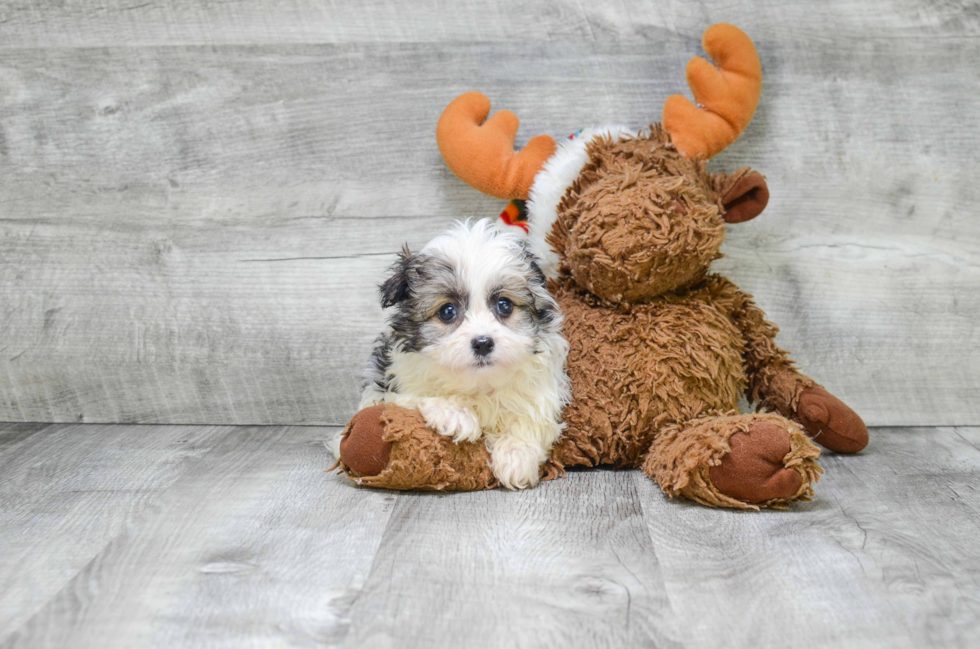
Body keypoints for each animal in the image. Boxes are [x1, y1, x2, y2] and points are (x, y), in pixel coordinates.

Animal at [356, 218, 572, 486]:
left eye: (504, 305)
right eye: (447, 311)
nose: (483, 343)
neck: (477, 383)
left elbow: (532, 415)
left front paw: (516, 454)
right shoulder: (387, 388)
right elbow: (412, 397)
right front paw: (455, 414)